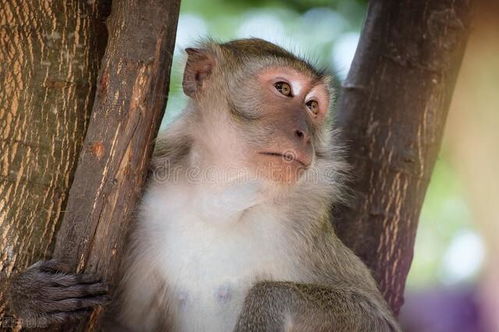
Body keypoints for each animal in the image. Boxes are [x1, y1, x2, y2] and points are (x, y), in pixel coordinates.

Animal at [5, 39, 400, 332]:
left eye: (313, 106)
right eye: (283, 88)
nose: (304, 132)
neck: (222, 199)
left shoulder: (303, 223)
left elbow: (380, 320)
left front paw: (265, 306)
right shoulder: (144, 211)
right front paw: (29, 296)